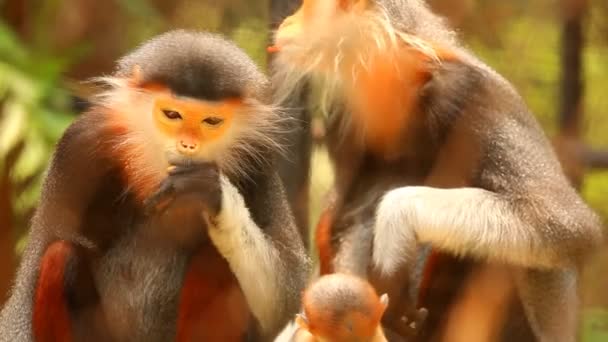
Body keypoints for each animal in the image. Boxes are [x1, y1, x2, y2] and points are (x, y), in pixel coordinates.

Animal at [0, 30, 312, 342]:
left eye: (211, 121)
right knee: (60, 256)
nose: (188, 145)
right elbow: (20, 309)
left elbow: (287, 295)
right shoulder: (76, 146)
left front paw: (209, 190)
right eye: (172, 115)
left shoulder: (259, 158)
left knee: (214, 258)